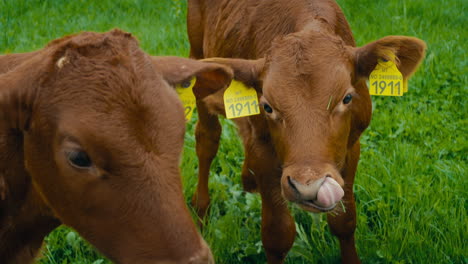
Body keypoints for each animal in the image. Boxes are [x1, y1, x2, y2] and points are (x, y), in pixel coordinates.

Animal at [188, 1, 426, 262]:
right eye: (267, 106)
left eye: (347, 97)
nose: (308, 187)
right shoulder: (263, 149)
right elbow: (277, 235)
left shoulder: (352, 146)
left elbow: (345, 220)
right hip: (197, 55)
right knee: (207, 140)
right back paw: (200, 215)